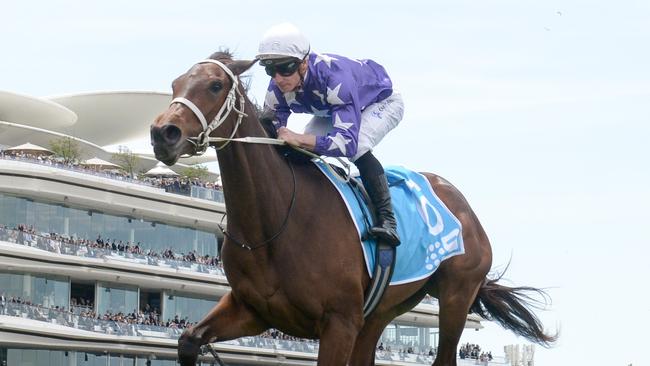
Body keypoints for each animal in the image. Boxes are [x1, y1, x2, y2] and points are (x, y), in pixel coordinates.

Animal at [151, 52, 552, 366]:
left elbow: (348, 137)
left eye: (215, 85)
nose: (162, 133)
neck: (274, 222)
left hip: (457, 294)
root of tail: (461, 203)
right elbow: (188, 341)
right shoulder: (253, 311)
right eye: (175, 84)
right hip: (382, 311)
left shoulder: (339, 322)